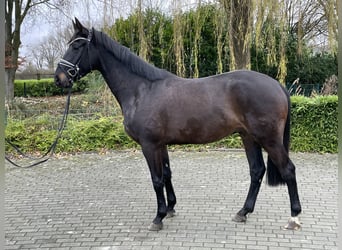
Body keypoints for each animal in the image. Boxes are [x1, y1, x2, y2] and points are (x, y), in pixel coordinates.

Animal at [54, 18, 302, 231]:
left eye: (77, 46)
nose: (59, 78)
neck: (142, 90)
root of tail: (277, 85)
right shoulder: (160, 144)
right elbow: (167, 174)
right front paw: (171, 208)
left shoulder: (149, 145)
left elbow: (156, 180)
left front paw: (158, 217)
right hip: (248, 136)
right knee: (256, 170)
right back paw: (243, 212)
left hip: (268, 139)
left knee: (288, 170)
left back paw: (294, 217)